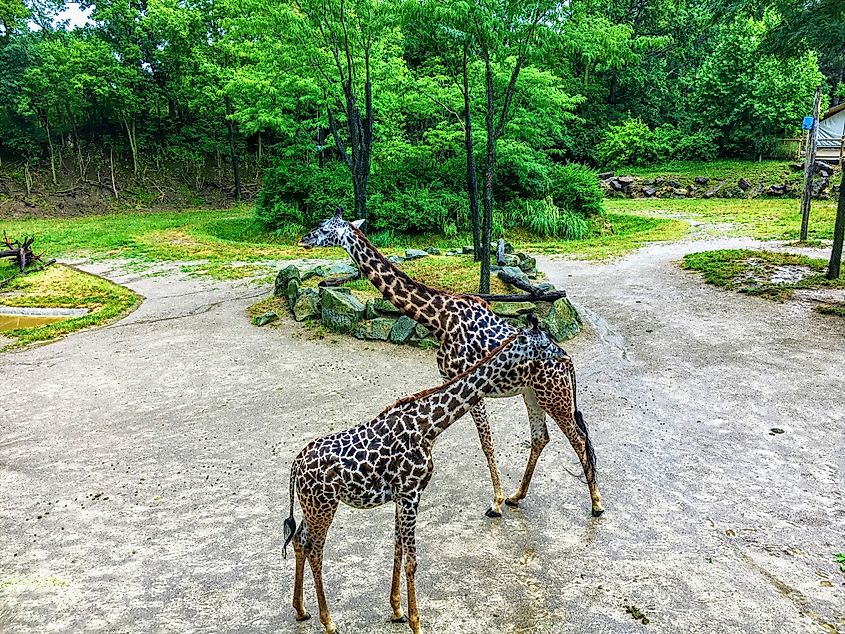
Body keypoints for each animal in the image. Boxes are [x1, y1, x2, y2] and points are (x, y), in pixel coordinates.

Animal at [283, 319, 573, 634]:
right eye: (545, 343)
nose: (565, 357)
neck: (429, 426)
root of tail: (296, 465)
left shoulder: (401, 496)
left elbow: (397, 549)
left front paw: (397, 610)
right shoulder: (411, 493)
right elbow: (412, 560)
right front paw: (416, 623)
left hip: (312, 506)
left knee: (299, 540)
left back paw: (301, 610)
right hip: (324, 505)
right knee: (315, 550)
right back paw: (328, 621)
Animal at [299, 209, 603, 518]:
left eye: (324, 228)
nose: (304, 240)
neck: (439, 320)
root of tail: (568, 363)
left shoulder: (469, 382)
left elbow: (486, 443)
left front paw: (495, 503)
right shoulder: (450, 379)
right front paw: (501, 498)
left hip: (556, 395)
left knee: (578, 439)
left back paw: (596, 503)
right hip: (533, 393)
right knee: (541, 437)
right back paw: (517, 496)